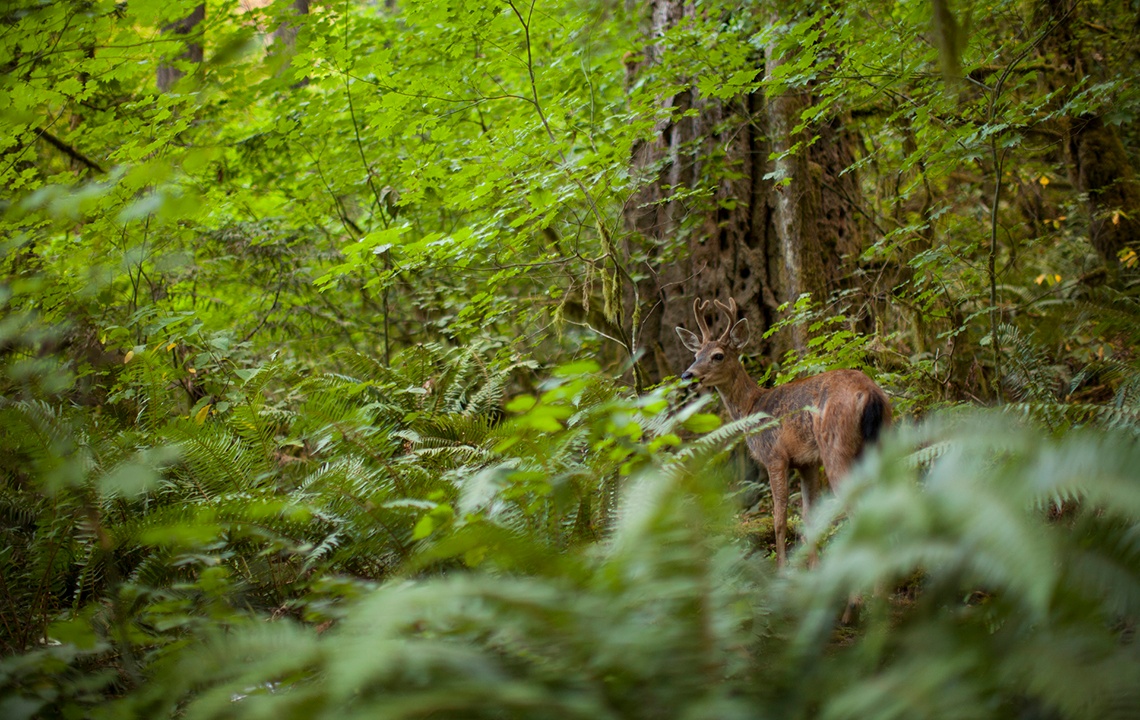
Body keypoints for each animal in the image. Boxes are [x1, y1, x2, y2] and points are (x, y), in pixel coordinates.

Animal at [674, 296, 889, 565]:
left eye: (718, 355)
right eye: (695, 354)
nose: (687, 375)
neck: (752, 407)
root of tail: (868, 392)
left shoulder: (775, 456)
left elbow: (779, 520)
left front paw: (782, 569)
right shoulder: (807, 462)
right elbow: (809, 518)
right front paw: (813, 568)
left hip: (835, 446)